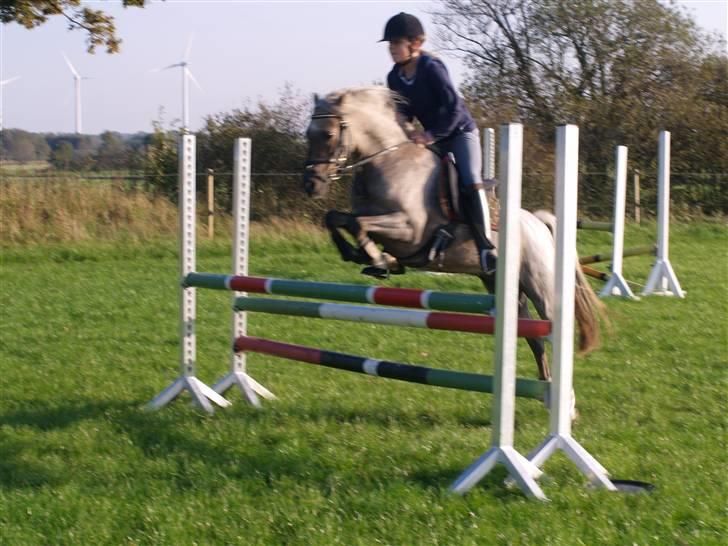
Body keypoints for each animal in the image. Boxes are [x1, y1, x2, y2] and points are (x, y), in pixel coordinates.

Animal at [301, 86, 604, 402]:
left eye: (328, 135)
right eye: (308, 134)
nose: (311, 184)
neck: (386, 162)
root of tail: (539, 224)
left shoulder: (410, 230)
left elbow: (358, 225)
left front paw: (376, 258)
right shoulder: (371, 219)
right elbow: (336, 218)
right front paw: (361, 254)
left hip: (540, 284)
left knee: (551, 329)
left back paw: (566, 401)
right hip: (504, 287)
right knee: (534, 338)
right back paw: (544, 387)